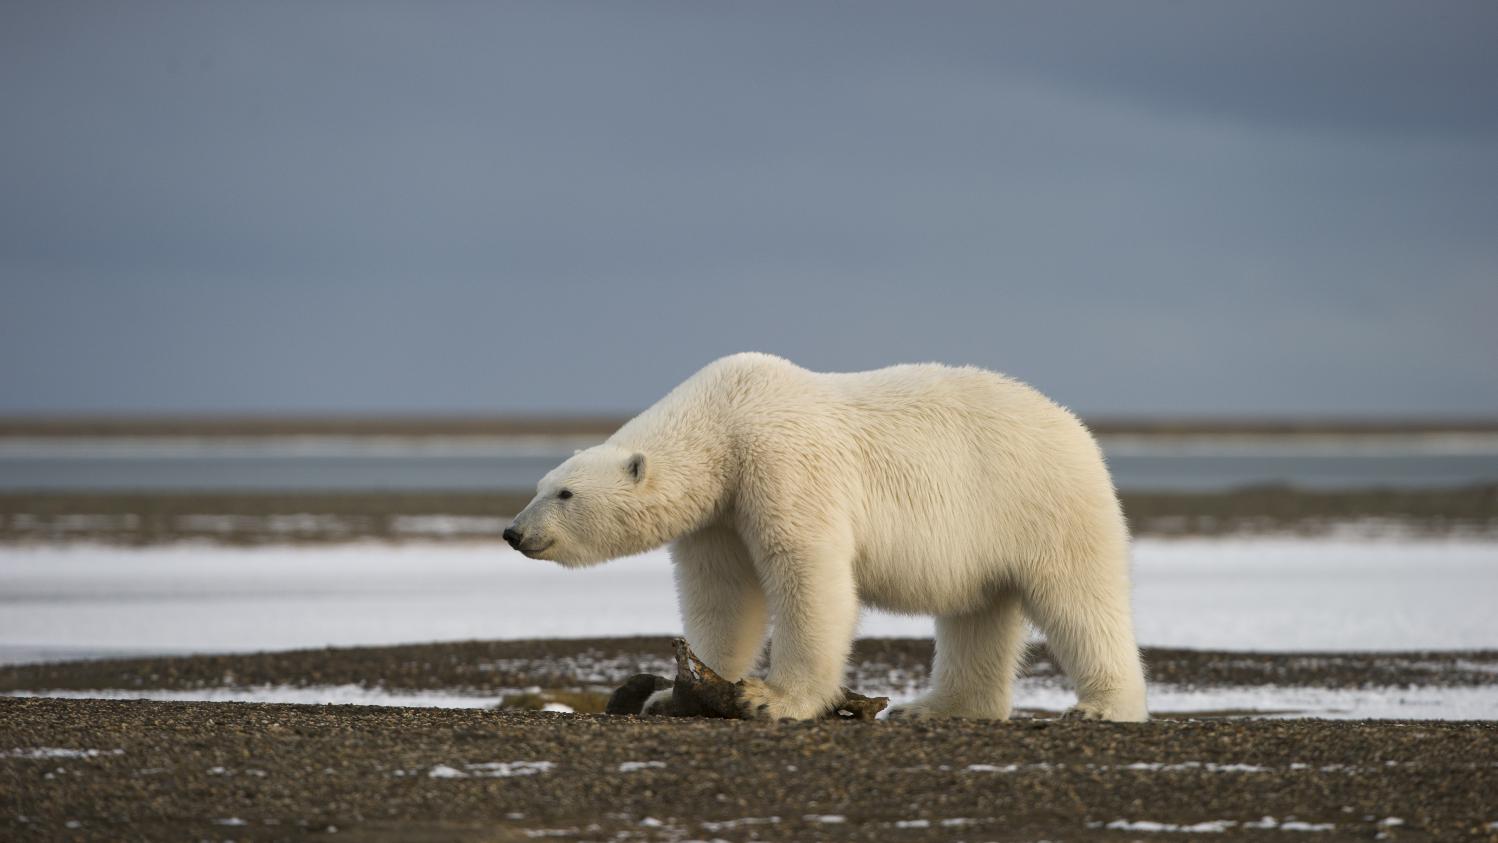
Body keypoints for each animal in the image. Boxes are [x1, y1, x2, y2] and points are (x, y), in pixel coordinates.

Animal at [503, 353, 1144, 721]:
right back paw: (937, 708)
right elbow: (722, 595)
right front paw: (670, 694)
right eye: (540, 484)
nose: (514, 532)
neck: (726, 417)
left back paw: (1102, 707)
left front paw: (771, 699)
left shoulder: (782, 462)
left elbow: (807, 571)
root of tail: (1078, 429)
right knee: (977, 615)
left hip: (1040, 502)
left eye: (564, 494)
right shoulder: (720, 513)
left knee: (1078, 600)